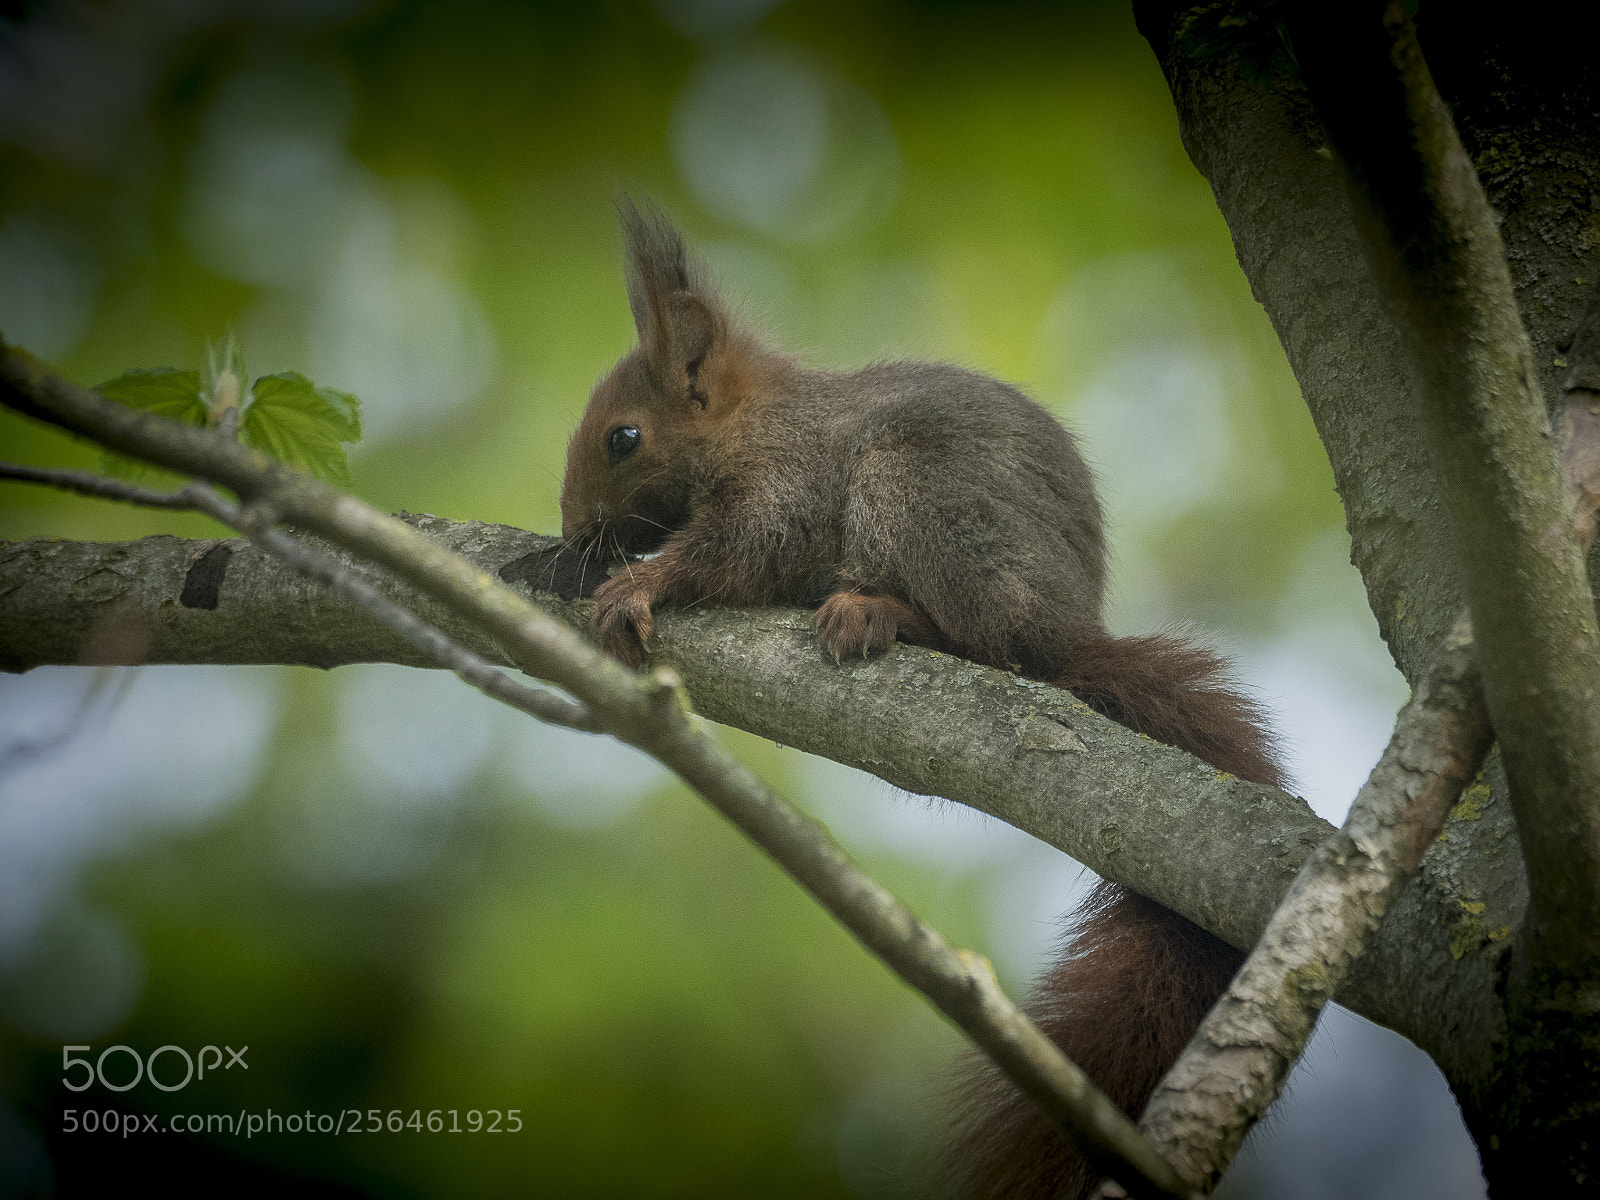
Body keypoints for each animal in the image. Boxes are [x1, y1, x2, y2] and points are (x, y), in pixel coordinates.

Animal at [559, 199, 1285, 1199]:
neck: (755, 421)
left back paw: (881, 611)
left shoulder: (788, 483)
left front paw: (640, 584)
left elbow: (742, 551)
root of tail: (1069, 631)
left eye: (622, 439)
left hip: (918, 495)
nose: (568, 531)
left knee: (987, 644)